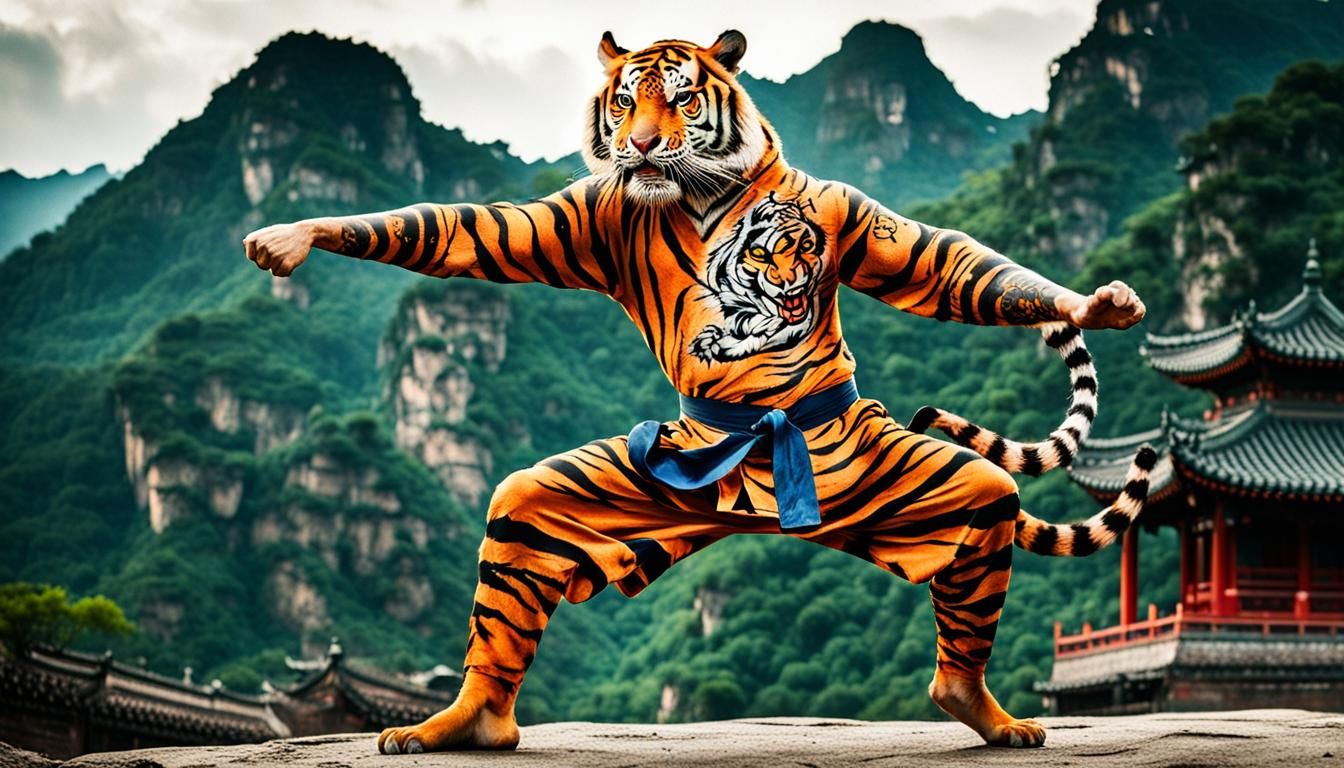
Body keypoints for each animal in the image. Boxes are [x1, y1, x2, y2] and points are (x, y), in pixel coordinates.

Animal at [242, 29, 1150, 754]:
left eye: (681, 98)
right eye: (622, 103)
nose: (641, 146)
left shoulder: (853, 218)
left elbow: (944, 263)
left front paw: (1095, 303)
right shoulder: (581, 217)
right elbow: (464, 228)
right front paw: (296, 233)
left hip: (917, 483)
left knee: (986, 508)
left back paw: (974, 702)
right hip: (588, 497)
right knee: (519, 530)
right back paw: (471, 721)